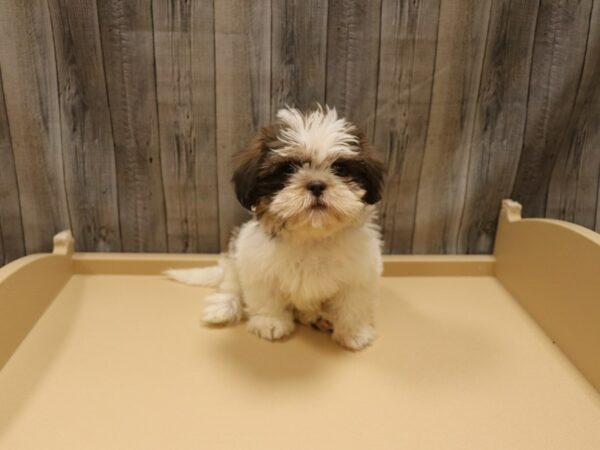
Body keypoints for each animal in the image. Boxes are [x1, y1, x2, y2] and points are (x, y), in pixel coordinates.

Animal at [166, 106, 386, 352]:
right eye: (288, 168)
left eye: (339, 168)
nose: (317, 184)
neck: (311, 236)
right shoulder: (258, 266)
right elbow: (266, 297)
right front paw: (270, 322)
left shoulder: (360, 274)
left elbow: (353, 304)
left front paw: (354, 332)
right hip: (235, 260)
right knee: (231, 285)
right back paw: (222, 308)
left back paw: (319, 317)